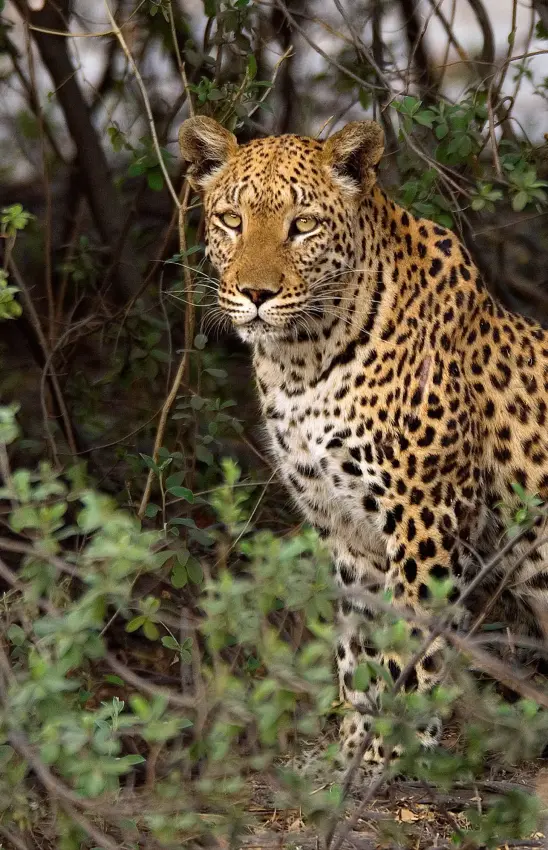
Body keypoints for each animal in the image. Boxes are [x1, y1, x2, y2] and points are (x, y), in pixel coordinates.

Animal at [179, 115, 548, 771]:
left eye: (303, 225)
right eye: (231, 220)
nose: (255, 294)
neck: (301, 360)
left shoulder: (428, 517)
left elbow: (410, 646)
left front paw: (389, 752)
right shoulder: (346, 529)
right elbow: (358, 645)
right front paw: (350, 746)